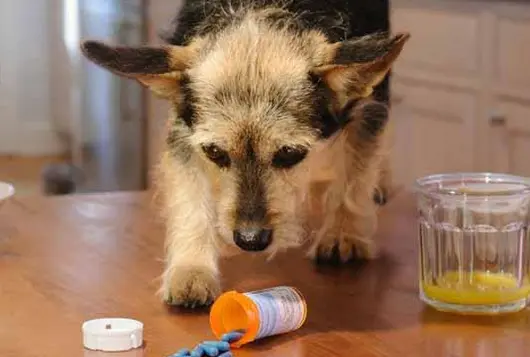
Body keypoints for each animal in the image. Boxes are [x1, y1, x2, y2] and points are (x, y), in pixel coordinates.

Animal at [79, 0, 408, 306]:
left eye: (289, 154)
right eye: (214, 152)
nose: (250, 240)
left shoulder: (367, 108)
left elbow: (354, 175)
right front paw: (192, 268)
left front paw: (343, 233)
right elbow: (189, 197)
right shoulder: (184, 128)